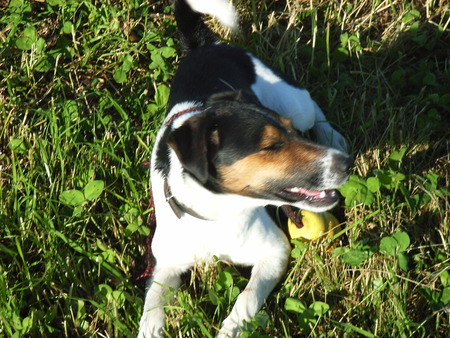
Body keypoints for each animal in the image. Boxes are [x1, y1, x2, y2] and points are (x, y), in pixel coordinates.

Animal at [137, 1, 352, 336]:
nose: (347, 164)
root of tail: (206, 45)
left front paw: (231, 329)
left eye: (290, 134)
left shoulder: (274, 252)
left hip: (296, 105)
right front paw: (151, 326)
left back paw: (333, 136)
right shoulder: (165, 264)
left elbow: (246, 300)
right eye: (271, 146)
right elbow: (152, 305)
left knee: (312, 107)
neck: (215, 215)